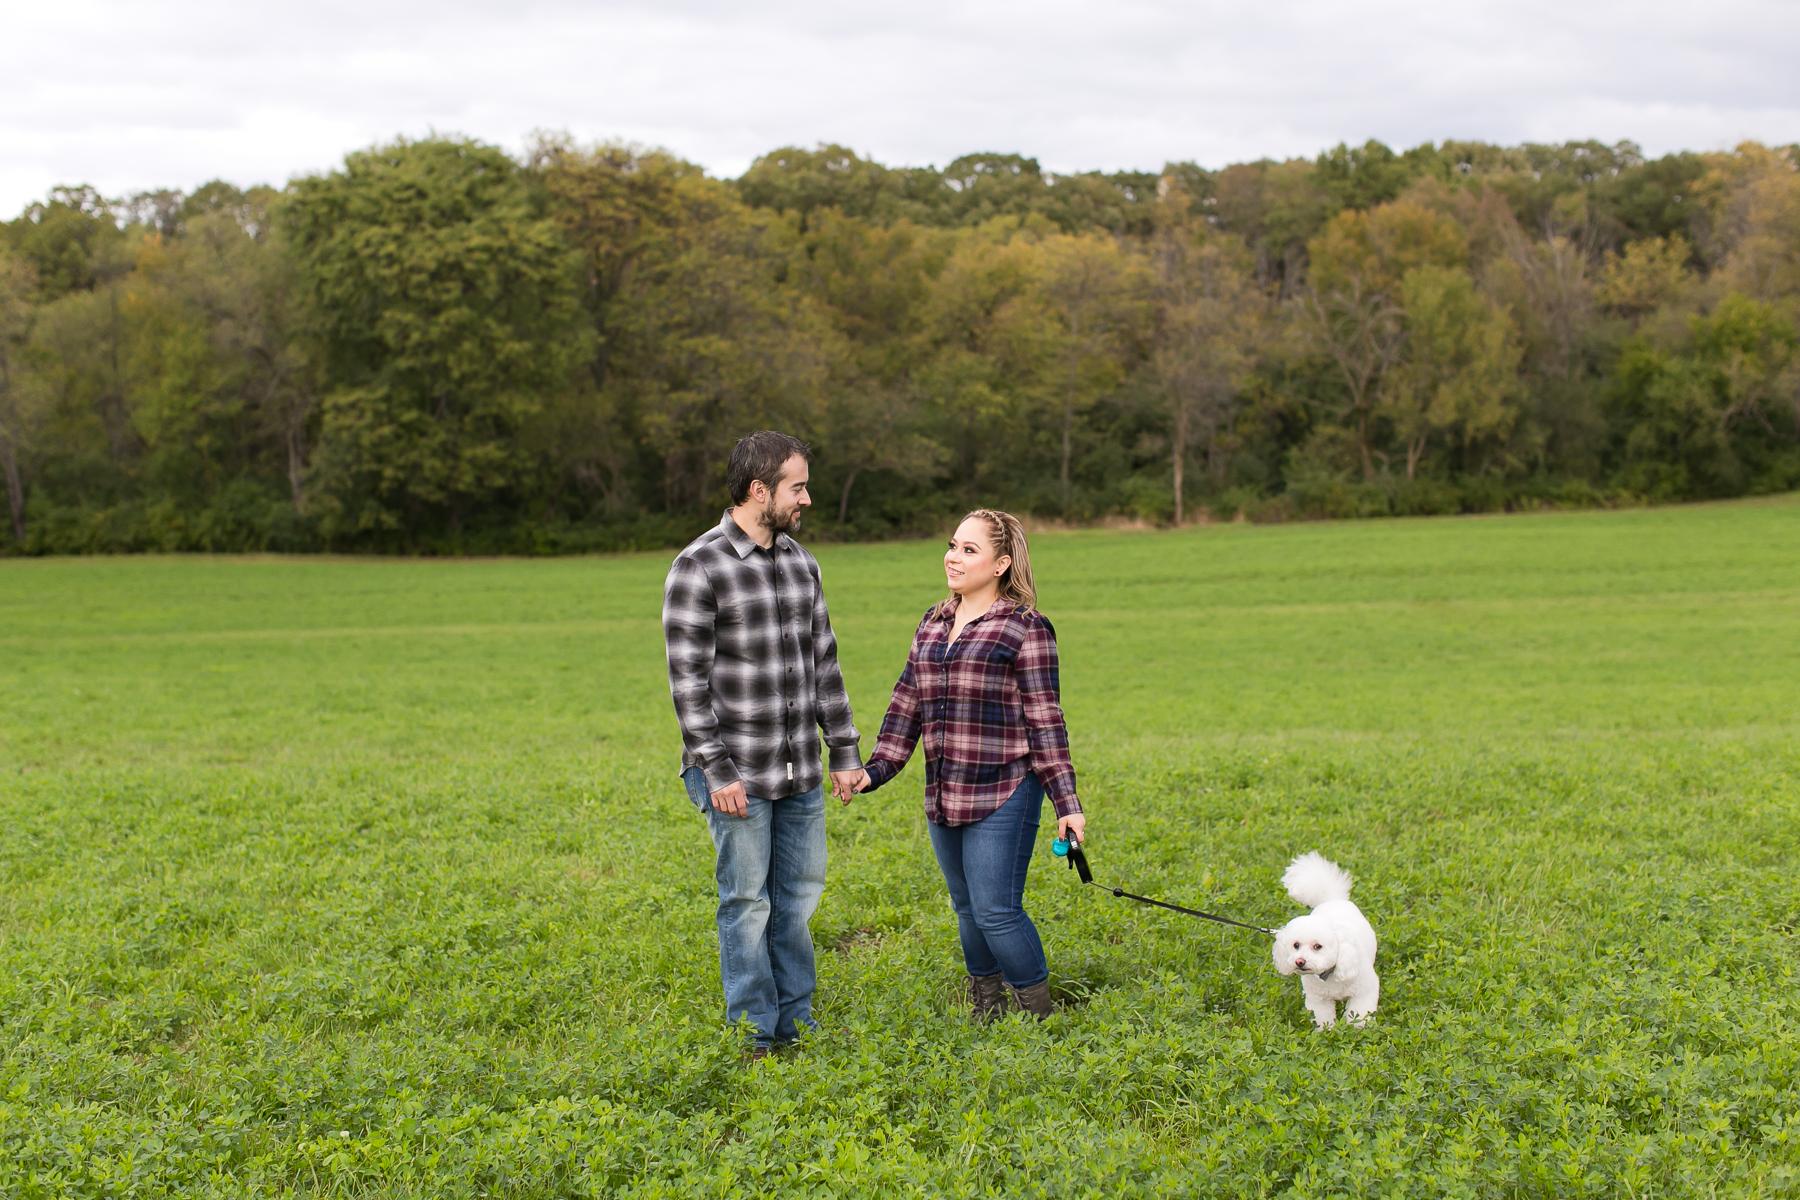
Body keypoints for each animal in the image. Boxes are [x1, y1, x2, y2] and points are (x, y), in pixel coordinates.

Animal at [1274, 849, 1382, 1029]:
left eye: (1318, 946)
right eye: (1296, 945)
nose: (1300, 962)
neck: (1329, 975)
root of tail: (1333, 899)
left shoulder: (1365, 991)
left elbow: (1359, 1013)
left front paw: (1358, 1029)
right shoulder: (1319, 1000)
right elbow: (1322, 1018)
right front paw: (1327, 1030)